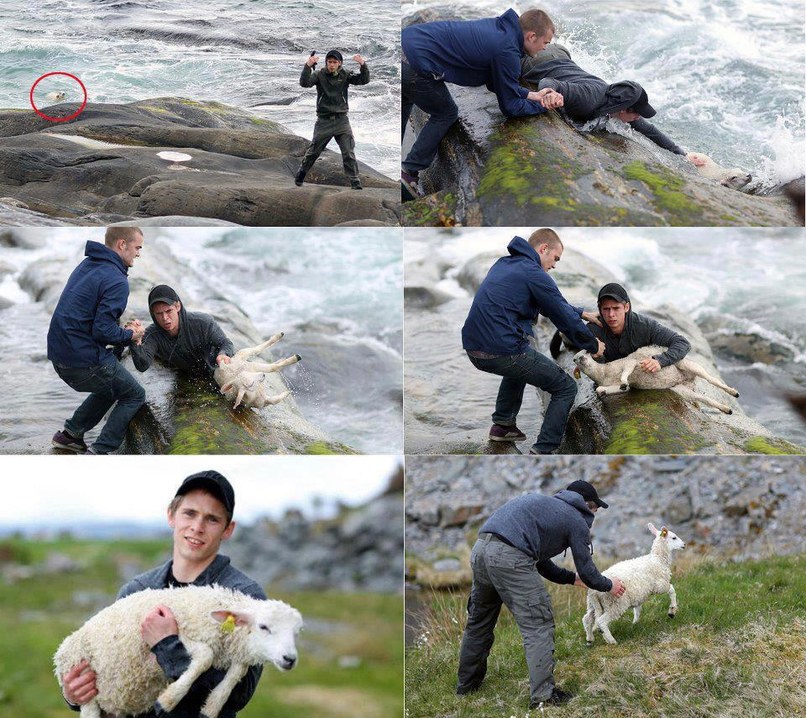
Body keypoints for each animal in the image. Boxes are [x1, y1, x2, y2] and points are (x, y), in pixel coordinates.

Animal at [53, 584, 304, 718]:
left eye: (297, 632)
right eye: (263, 627)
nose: (289, 659)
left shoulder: (237, 652)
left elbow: (236, 674)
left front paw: (212, 706)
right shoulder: (180, 632)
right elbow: (205, 657)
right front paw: (168, 699)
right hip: (82, 677)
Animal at [576, 344, 744, 414]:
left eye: (588, 352)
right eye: (574, 359)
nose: (582, 359)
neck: (603, 372)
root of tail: (687, 380)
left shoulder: (629, 363)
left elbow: (626, 371)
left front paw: (622, 381)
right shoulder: (622, 384)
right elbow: (603, 389)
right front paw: (611, 389)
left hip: (689, 365)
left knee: (712, 380)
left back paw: (734, 393)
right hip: (681, 390)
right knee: (704, 399)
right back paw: (727, 409)